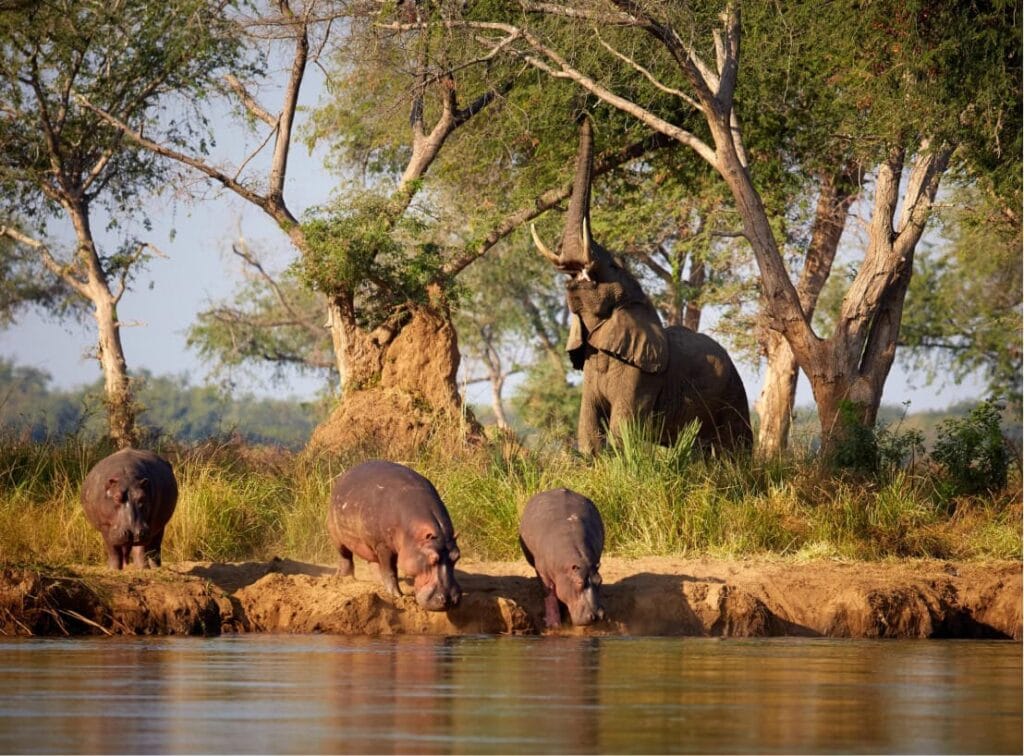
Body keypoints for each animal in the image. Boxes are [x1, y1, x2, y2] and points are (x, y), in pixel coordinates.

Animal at [325, 456, 462, 610]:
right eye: (433, 559)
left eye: (457, 556)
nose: (450, 600)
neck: (413, 535)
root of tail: (343, 476)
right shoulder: (383, 545)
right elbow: (390, 571)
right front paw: (397, 596)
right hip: (338, 537)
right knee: (346, 557)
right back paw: (346, 578)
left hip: (369, 544)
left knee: (373, 563)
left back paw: (377, 582)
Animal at [516, 485, 602, 626]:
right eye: (579, 582)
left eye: (600, 580)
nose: (597, 616)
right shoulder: (544, 573)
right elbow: (549, 594)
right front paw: (554, 625)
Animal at [536, 114, 753, 450]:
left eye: (612, 265)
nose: (584, 115)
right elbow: (588, 429)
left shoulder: (643, 374)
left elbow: (622, 430)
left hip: (733, 388)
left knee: (736, 444)